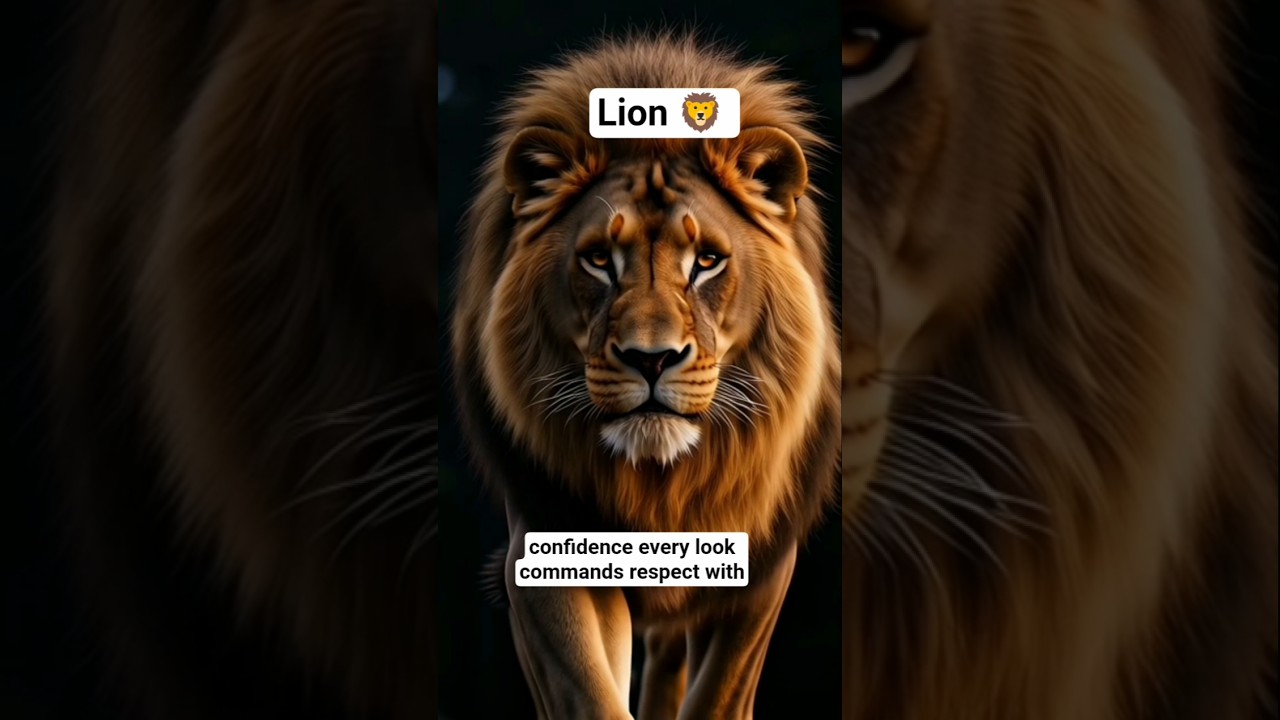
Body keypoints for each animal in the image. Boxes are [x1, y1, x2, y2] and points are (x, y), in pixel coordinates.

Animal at [451, 34, 840, 719]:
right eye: (598, 260)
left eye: (707, 261)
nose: (651, 358)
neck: (662, 489)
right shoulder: (546, 547)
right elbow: (588, 691)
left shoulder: (761, 571)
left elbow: (718, 694)